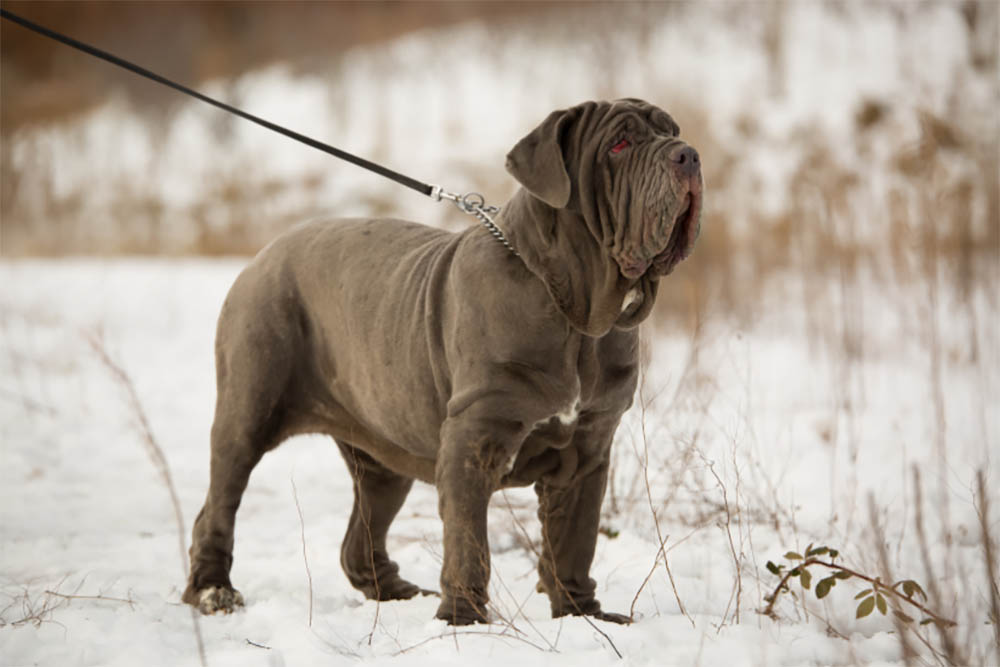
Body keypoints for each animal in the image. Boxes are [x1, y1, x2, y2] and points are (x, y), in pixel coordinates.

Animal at [184, 99, 708, 628]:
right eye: (619, 145)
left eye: (672, 131)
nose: (688, 154)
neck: (577, 316)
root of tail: (264, 254)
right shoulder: (474, 436)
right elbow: (469, 538)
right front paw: (464, 620)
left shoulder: (589, 448)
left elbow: (574, 542)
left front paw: (583, 615)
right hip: (247, 412)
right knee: (218, 506)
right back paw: (212, 590)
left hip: (382, 454)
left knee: (360, 535)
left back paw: (396, 591)